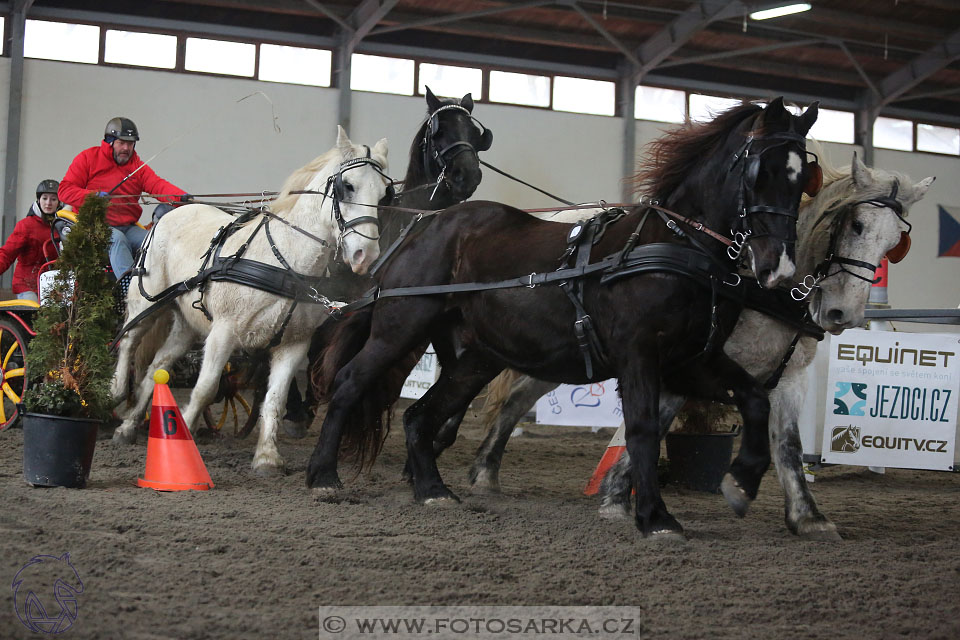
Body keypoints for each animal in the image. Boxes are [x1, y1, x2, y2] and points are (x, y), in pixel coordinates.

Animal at [109, 126, 386, 476]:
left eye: (384, 195)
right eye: (347, 186)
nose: (366, 255)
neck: (286, 261)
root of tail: (172, 213)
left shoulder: (294, 344)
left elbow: (274, 399)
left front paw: (267, 456)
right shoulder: (223, 333)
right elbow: (206, 388)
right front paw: (183, 440)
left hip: (187, 324)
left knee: (157, 367)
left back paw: (128, 426)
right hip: (146, 302)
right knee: (129, 340)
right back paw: (117, 392)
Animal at [308, 99, 816, 540]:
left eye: (801, 178)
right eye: (761, 171)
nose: (778, 267)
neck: (676, 246)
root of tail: (423, 224)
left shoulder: (692, 360)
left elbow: (755, 399)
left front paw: (742, 482)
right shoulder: (639, 354)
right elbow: (643, 429)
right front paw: (654, 516)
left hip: (476, 356)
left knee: (421, 415)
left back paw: (432, 490)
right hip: (401, 326)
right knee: (351, 382)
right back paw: (323, 475)